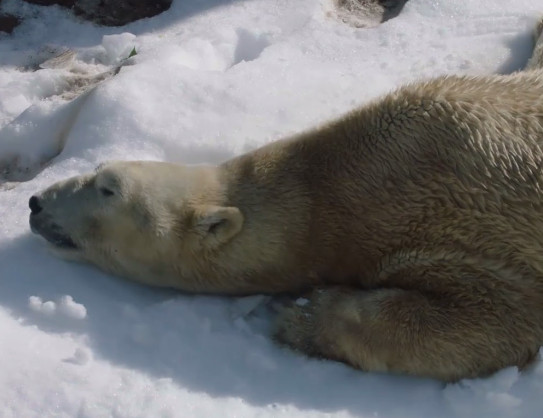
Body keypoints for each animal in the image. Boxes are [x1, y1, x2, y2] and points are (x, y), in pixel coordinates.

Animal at [30, 23, 543, 382]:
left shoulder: (465, 219)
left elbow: (498, 322)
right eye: (98, 170)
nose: (36, 203)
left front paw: (301, 317)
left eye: (108, 188)